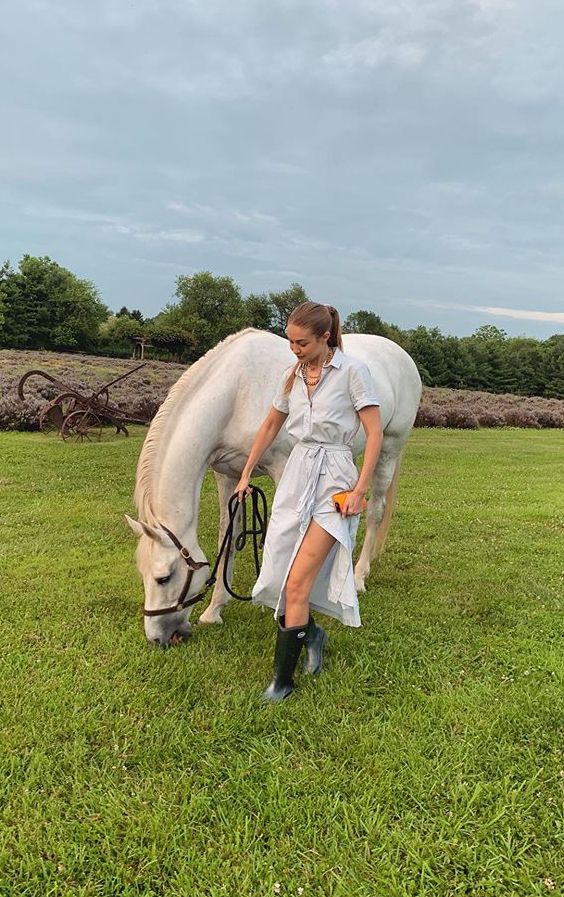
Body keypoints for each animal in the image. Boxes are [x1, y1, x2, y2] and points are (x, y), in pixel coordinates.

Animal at [125, 328, 420, 644]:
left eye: (163, 578)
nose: (158, 638)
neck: (236, 393)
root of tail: (401, 355)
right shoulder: (228, 476)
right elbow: (228, 537)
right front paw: (215, 610)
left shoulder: (283, 469)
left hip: (389, 448)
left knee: (375, 511)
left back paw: (359, 576)